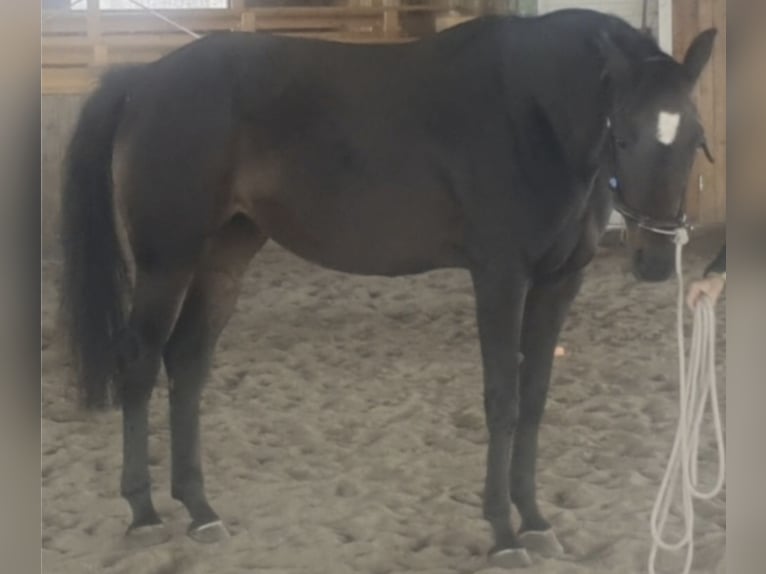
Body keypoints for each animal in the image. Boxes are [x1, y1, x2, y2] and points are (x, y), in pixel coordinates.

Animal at [59, 9, 716, 568]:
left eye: (692, 139)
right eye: (623, 136)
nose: (656, 258)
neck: (530, 116)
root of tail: (143, 80)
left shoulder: (559, 283)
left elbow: (534, 400)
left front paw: (534, 521)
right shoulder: (500, 278)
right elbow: (502, 400)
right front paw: (503, 534)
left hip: (226, 254)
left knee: (187, 362)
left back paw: (199, 510)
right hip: (167, 261)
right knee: (141, 363)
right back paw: (144, 512)